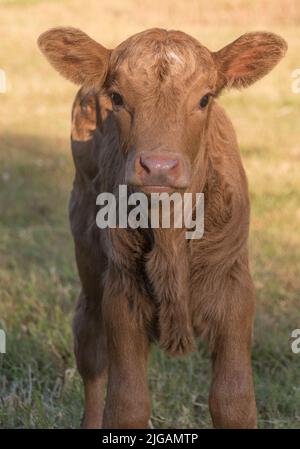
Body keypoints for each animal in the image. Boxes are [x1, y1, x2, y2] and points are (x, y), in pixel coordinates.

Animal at [37, 27, 286, 428]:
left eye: (204, 98)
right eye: (117, 97)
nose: (158, 166)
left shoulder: (236, 290)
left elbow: (233, 401)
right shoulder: (121, 293)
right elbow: (127, 405)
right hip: (87, 253)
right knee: (90, 344)